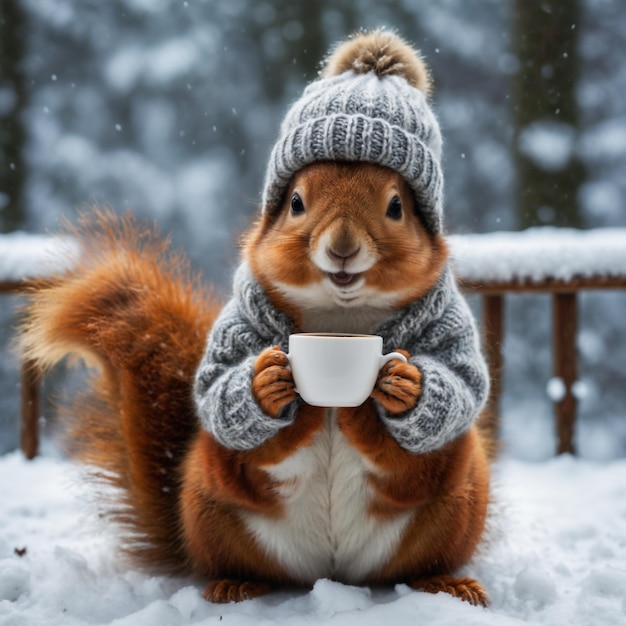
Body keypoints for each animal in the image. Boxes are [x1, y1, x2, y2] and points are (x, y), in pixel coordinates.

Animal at [19, 30, 492, 604]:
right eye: (296, 203)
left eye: (396, 207)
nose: (341, 248)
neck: (339, 318)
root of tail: (331, 573)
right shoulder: (241, 321)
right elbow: (217, 389)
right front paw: (266, 385)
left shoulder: (448, 322)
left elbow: (462, 385)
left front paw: (405, 386)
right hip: (211, 495)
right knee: (240, 538)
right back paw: (235, 584)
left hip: (455, 502)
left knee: (421, 540)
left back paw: (447, 582)